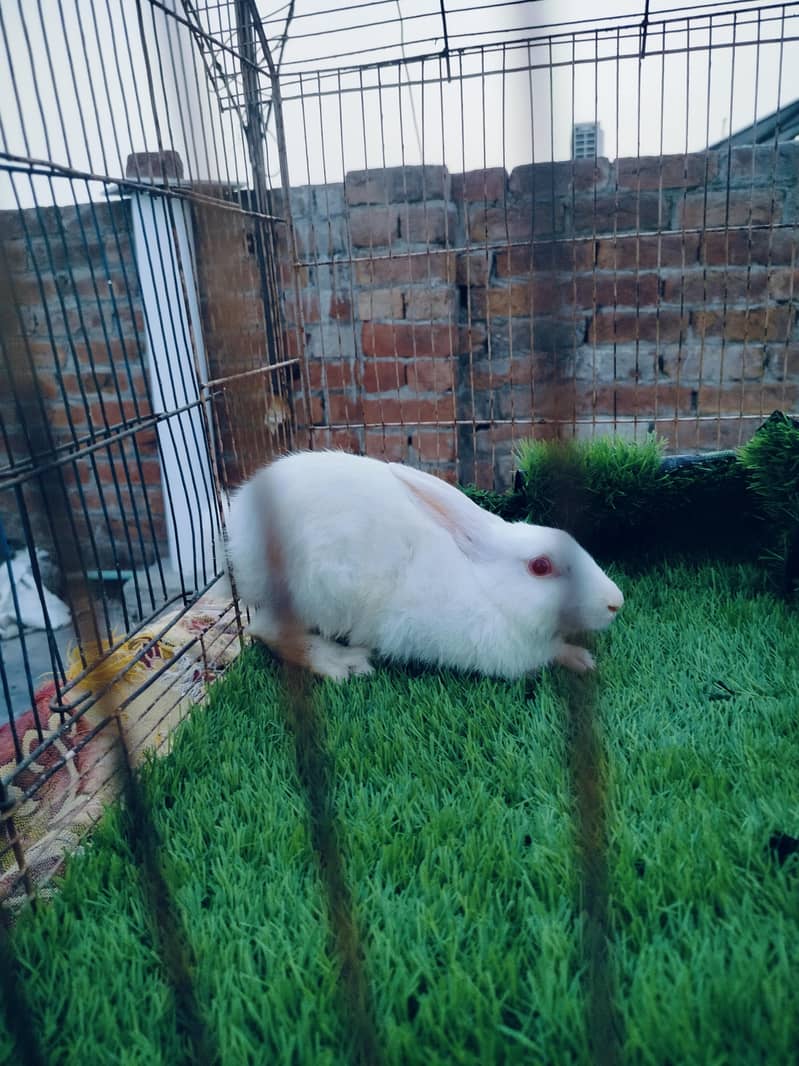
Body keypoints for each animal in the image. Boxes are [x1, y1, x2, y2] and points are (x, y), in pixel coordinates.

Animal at [225, 450, 624, 681]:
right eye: (541, 566)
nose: (615, 603)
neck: (489, 591)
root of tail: (238, 531)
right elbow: (550, 655)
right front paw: (581, 658)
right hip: (316, 594)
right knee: (269, 630)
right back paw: (343, 663)